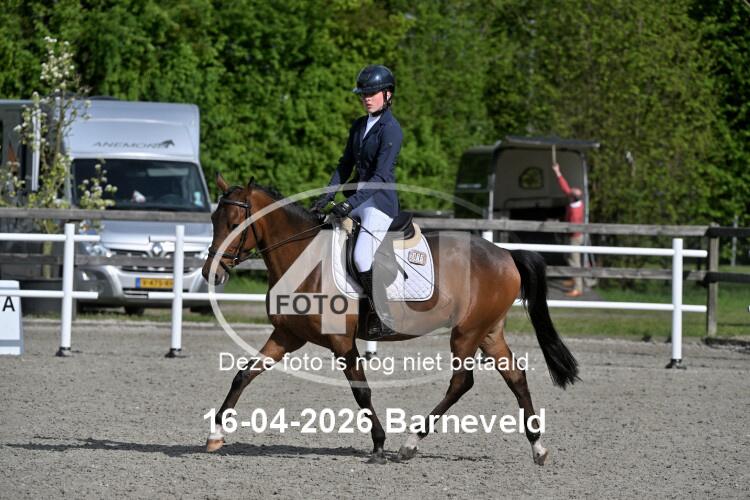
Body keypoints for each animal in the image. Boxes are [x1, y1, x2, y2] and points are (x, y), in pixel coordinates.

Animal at [201, 174, 579, 465]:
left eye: (235, 225)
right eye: (213, 222)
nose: (210, 274)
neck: (304, 259)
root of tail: (505, 254)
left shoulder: (341, 343)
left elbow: (362, 391)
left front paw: (379, 445)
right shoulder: (286, 335)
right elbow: (243, 375)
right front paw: (215, 434)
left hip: (466, 333)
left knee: (462, 382)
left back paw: (409, 444)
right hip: (488, 332)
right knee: (515, 376)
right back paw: (538, 448)